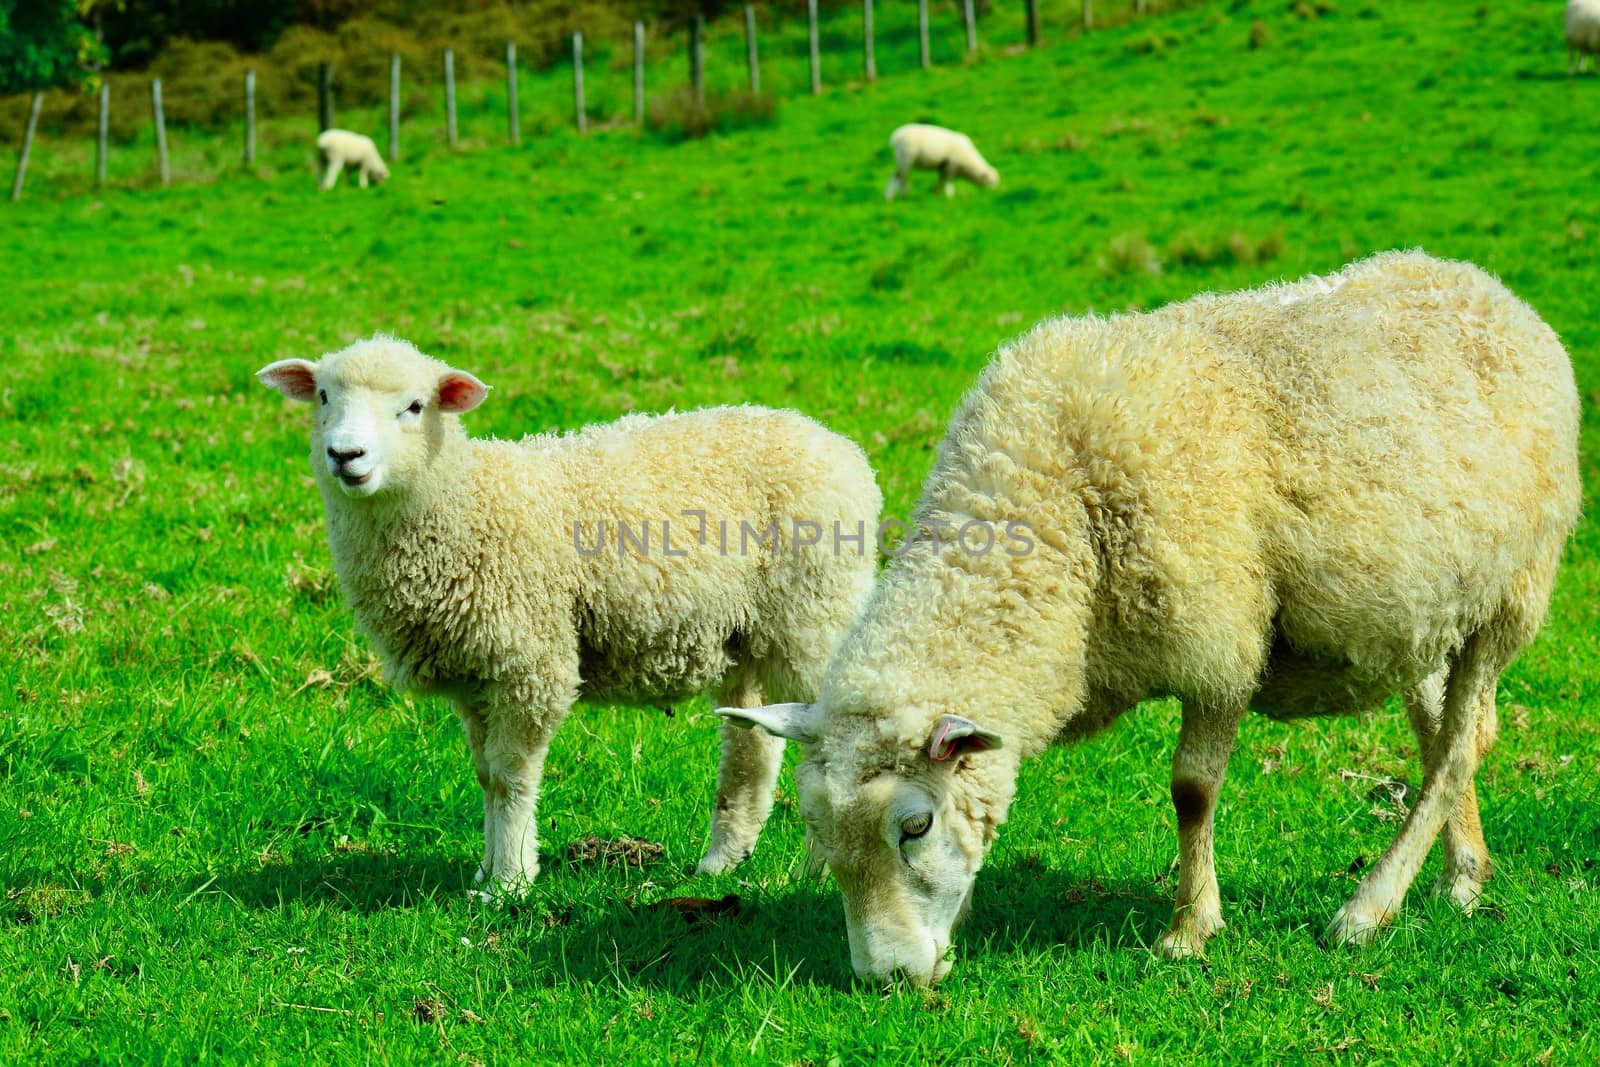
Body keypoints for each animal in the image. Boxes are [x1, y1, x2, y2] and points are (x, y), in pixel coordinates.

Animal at [256, 337, 883, 895]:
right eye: (322, 396)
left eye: (413, 406)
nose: (345, 455)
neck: (462, 507)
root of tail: (835, 444)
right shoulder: (474, 676)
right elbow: (487, 777)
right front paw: (486, 871)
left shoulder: (530, 663)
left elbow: (512, 776)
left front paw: (509, 882)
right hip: (744, 636)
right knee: (752, 748)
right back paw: (722, 863)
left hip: (813, 617)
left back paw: (817, 872)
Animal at [729, 247, 1587, 985]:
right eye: (820, 835)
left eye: (914, 826)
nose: (888, 977)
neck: (1056, 511)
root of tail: (1487, 287)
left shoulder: (1222, 639)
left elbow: (1192, 790)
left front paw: (1189, 927)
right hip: (1429, 613)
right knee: (1447, 733)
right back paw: (1462, 878)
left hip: (1512, 594)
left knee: (1459, 747)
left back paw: (1367, 909)